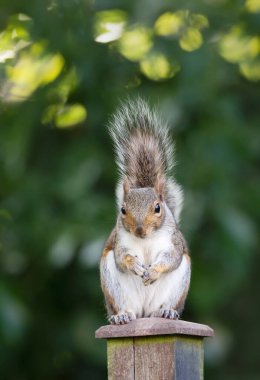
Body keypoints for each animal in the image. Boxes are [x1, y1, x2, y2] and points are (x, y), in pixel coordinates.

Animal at [100, 97, 191, 324]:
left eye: (157, 208)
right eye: (123, 210)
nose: (139, 230)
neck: (146, 240)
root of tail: (144, 312)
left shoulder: (173, 242)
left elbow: (172, 257)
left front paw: (154, 270)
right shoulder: (120, 241)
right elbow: (122, 258)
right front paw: (134, 264)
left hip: (177, 287)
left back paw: (166, 311)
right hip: (114, 288)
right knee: (126, 308)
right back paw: (122, 316)